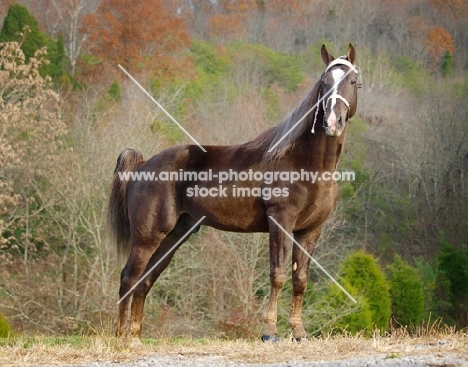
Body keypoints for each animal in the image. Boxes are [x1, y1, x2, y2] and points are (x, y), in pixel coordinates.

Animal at [109, 43, 358, 344]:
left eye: (352, 81)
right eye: (324, 83)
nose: (333, 122)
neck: (306, 164)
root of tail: (144, 165)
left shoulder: (310, 231)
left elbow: (300, 280)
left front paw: (299, 333)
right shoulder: (280, 222)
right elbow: (278, 274)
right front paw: (270, 333)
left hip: (176, 235)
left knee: (146, 279)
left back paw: (135, 337)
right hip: (147, 236)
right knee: (128, 278)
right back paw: (121, 337)